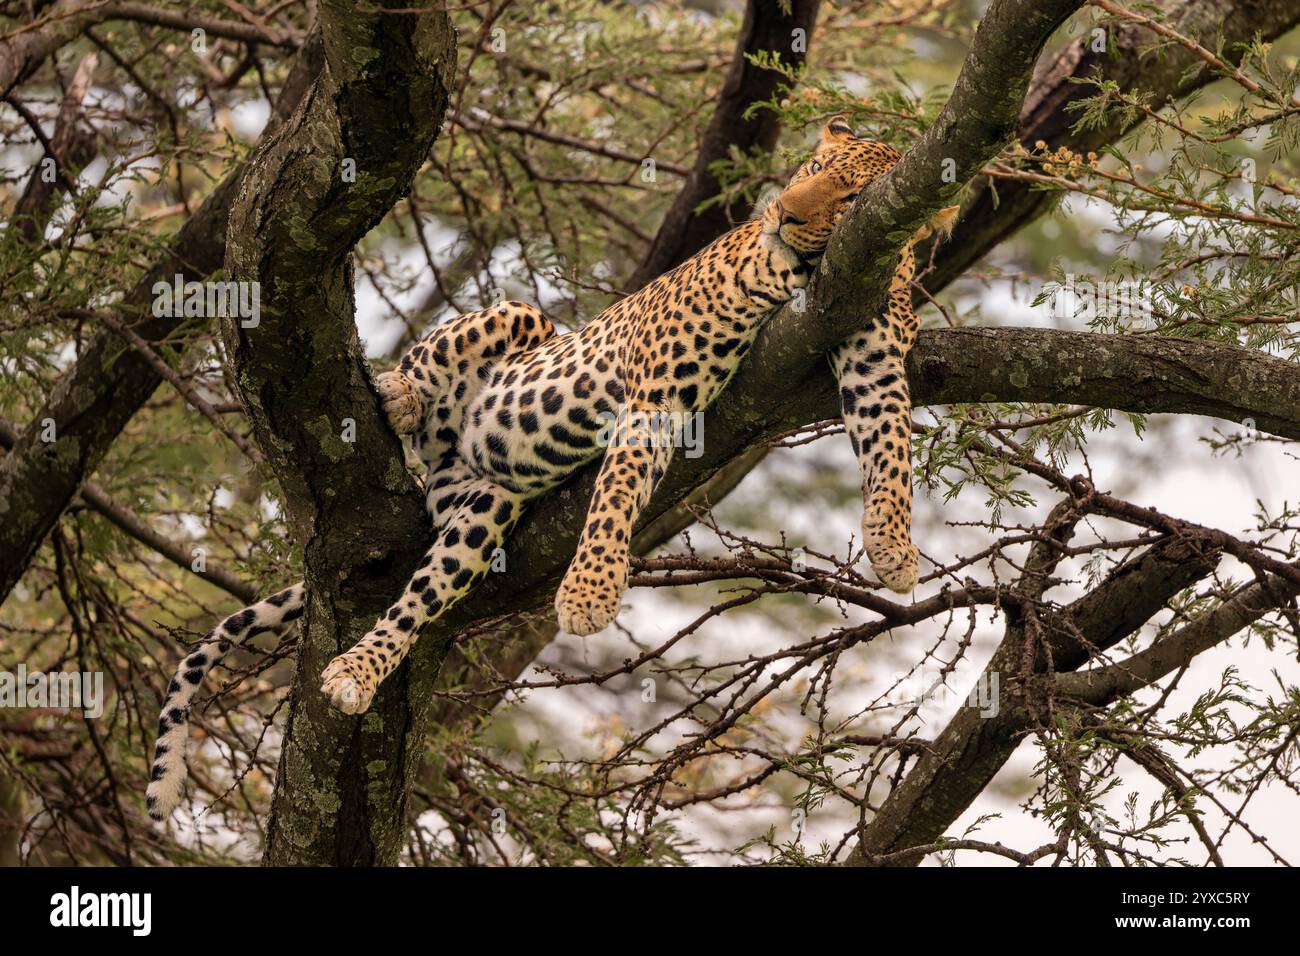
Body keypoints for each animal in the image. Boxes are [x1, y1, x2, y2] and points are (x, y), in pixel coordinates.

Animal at [146, 116, 958, 822]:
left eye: (848, 197)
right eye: (809, 170)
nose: (782, 215)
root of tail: (439, 473)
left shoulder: (873, 360)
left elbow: (891, 450)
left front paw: (893, 549)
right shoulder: (656, 391)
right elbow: (619, 492)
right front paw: (590, 595)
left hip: (484, 508)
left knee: (418, 597)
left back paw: (358, 671)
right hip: (518, 321)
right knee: (440, 356)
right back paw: (399, 395)